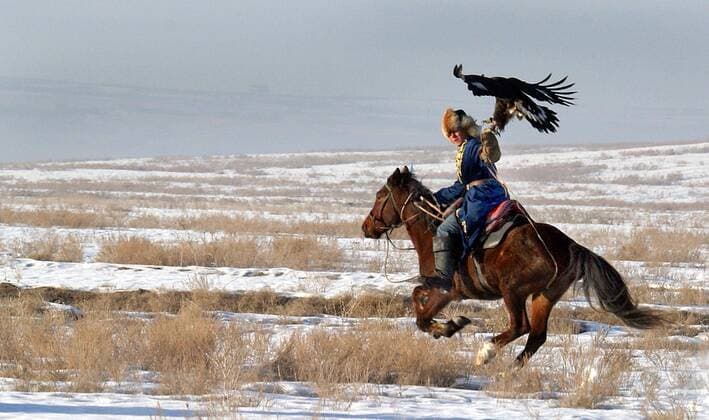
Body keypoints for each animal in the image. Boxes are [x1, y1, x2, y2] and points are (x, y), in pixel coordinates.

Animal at [361, 166, 665, 365]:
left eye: (379, 195)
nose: (366, 227)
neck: (432, 231)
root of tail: (571, 245)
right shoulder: (444, 290)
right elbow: (417, 302)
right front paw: (448, 325)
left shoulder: (445, 290)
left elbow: (421, 315)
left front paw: (448, 326)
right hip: (545, 295)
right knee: (537, 336)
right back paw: (511, 369)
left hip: (513, 291)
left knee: (521, 326)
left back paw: (486, 353)